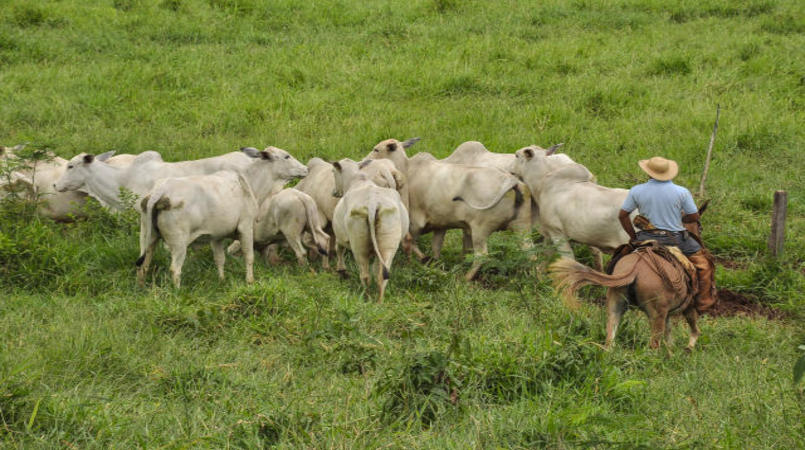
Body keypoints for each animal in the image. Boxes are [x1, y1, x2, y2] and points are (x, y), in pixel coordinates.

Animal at [135, 147, 308, 288]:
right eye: (286, 156)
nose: (305, 169)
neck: (248, 183)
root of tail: (159, 192)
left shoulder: (216, 236)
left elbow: (219, 259)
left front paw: (222, 280)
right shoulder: (245, 226)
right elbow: (249, 256)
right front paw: (250, 281)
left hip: (147, 237)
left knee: (143, 265)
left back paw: (141, 287)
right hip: (178, 242)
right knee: (175, 269)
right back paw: (177, 292)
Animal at [331, 159, 409, 301]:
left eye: (333, 172)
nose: (333, 192)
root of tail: (373, 203)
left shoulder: (340, 236)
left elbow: (339, 249)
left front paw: (341, 270)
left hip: (358, 245)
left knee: (365, 275)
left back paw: (366, 299)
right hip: (389, 242)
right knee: (382, 275)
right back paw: (379, 302)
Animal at [367, 138, 526, 280]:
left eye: (376, 149)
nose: (364, 161)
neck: (408, 170)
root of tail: (512, 181)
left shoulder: (415, 223)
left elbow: (409, 243)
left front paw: (420, 261)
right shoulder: (441, 224)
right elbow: (437, 247)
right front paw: (435, 263)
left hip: (480, 229)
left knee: (481, 255)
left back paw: (466, 278)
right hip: (521, 227)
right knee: (527, 250)